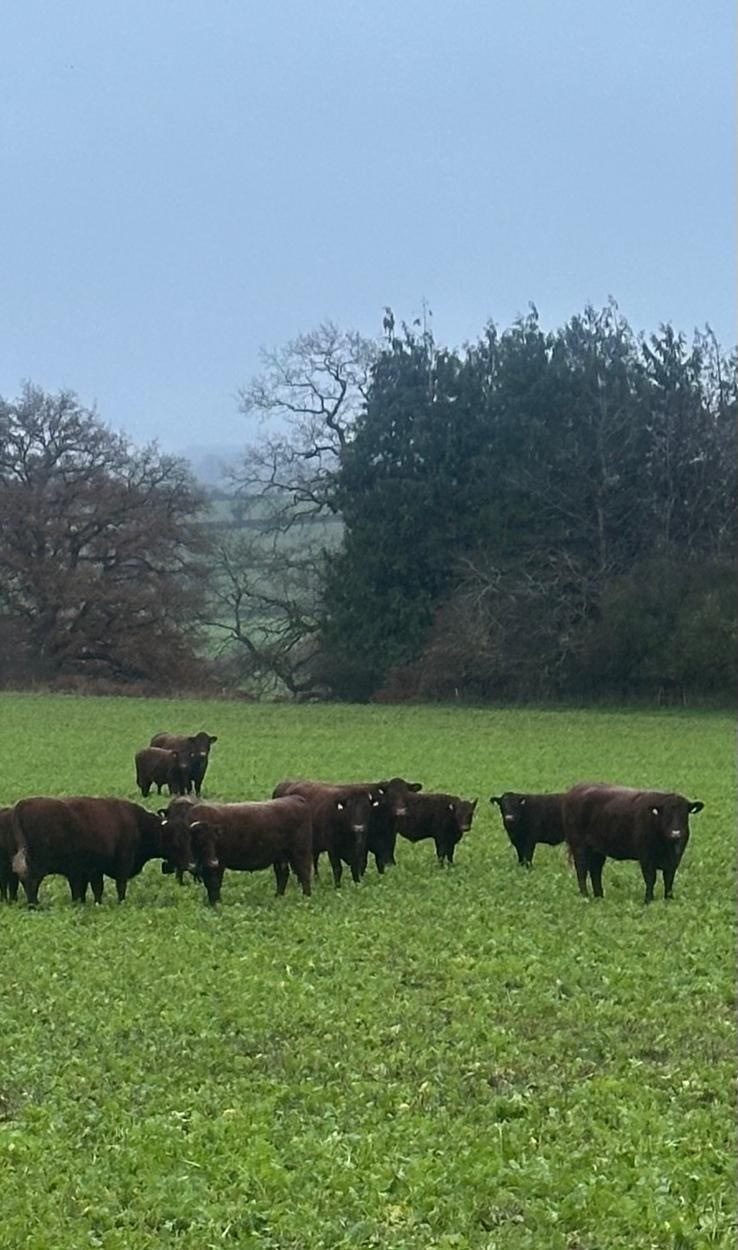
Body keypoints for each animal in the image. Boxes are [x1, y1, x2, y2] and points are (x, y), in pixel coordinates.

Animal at [9, 796, 194, 906]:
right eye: (176, 840)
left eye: (188, 838)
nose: (189, 864)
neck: (137, 824)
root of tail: (22, 805)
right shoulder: (120, 866)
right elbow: (118, 887)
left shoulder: (89, 871)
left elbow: (88, 890)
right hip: (37, 865)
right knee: (31, 881)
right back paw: (35, 904)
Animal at [161, 794, 313, 905]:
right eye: (199, 841)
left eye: (214, 840)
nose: (213, 862)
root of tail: (296, 798)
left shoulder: (219, 865)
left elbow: (214, 884)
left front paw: (216, 903)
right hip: (280, 857)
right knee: (282, 875)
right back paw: (278, 897)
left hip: (300, 853)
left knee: (304, 874)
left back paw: (306, 897)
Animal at [562, 782, 704, 903]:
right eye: (666, 814)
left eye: (684, 814)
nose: (676, 834)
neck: (666, 847)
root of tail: (577, 788)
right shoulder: (646, 858)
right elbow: (650, 879)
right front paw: (648, 901)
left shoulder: (674, 860)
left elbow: (669, 880)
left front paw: (669, 899)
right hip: (579, 846)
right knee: (582, 871)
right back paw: (585, 897)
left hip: (597, 850)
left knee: (595, 871)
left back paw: (599, 897)